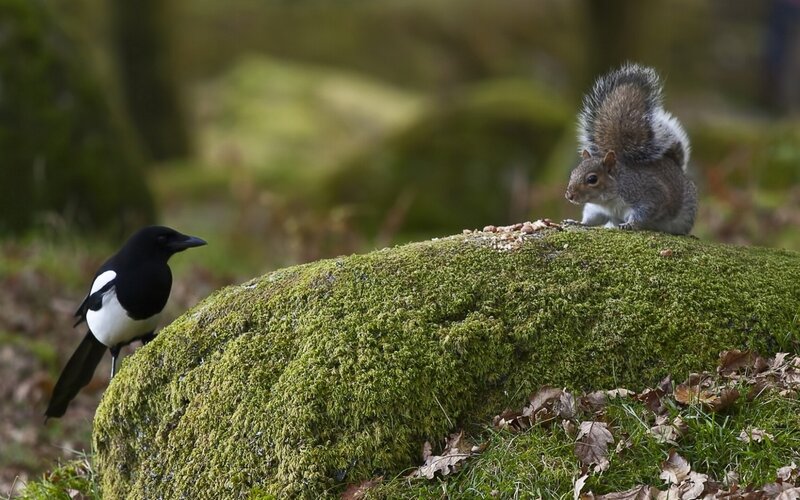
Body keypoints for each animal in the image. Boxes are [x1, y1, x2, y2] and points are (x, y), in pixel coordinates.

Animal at [564, 63, 697, 235]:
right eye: (573, 173)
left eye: (592, 179)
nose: (569, 195)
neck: (608, 201)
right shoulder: (597, 210)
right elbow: (591, 219)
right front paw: (577, 222)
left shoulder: (649, 195)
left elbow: (644, 213)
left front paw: (629, 224)